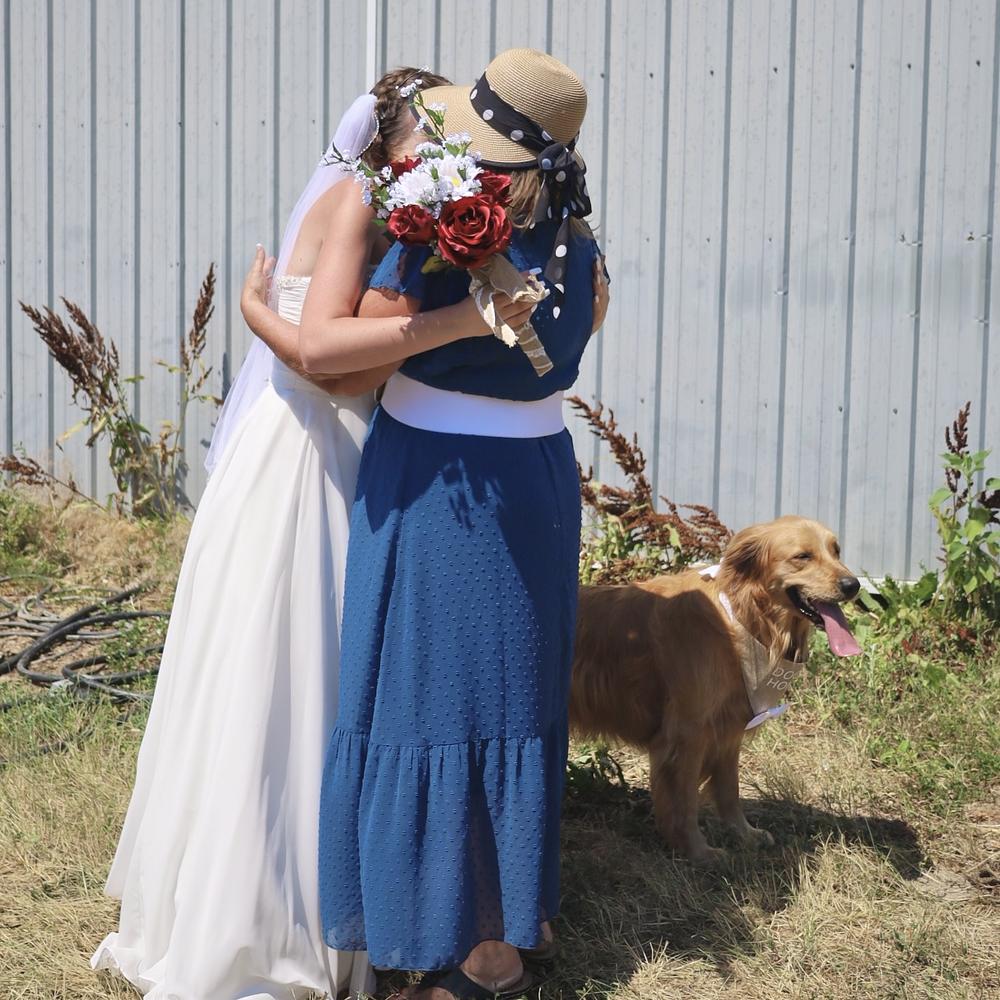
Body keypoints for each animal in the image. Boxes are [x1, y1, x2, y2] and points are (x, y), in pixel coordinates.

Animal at [570, 515, 861, 864]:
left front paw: (745, 834)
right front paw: (697, 851)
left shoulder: (727, 726)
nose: (853, 585)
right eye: (802, 556)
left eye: (836, 550)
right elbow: (684, 803)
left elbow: (729, 790)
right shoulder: (686, 733)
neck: (740, 615)